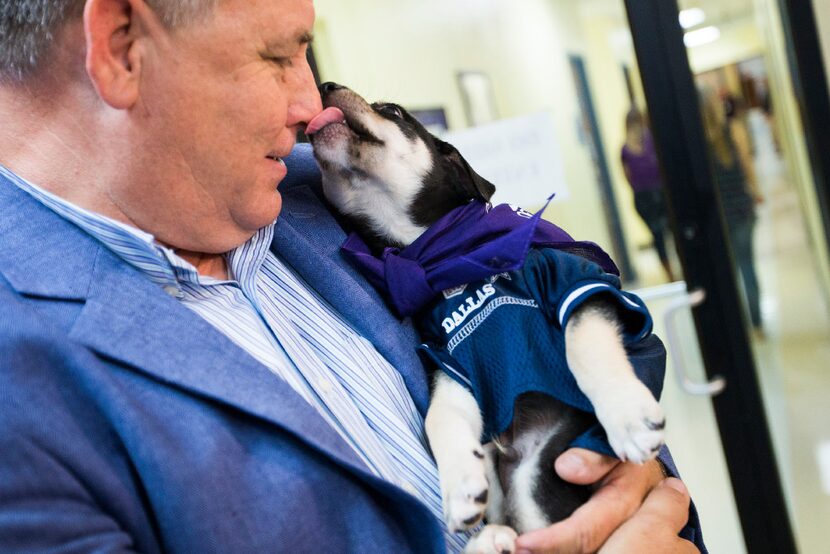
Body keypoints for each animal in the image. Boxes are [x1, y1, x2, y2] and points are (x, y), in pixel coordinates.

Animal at [308, 83, 668, 552]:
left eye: (394, 112)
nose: (325, 86)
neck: (449, 258)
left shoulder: (577, 287)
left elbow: (585, 348)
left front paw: (628, 417)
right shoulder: (449, 363)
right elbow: (439, 418)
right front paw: (461, 483)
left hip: (537, 474)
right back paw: (489, 539)